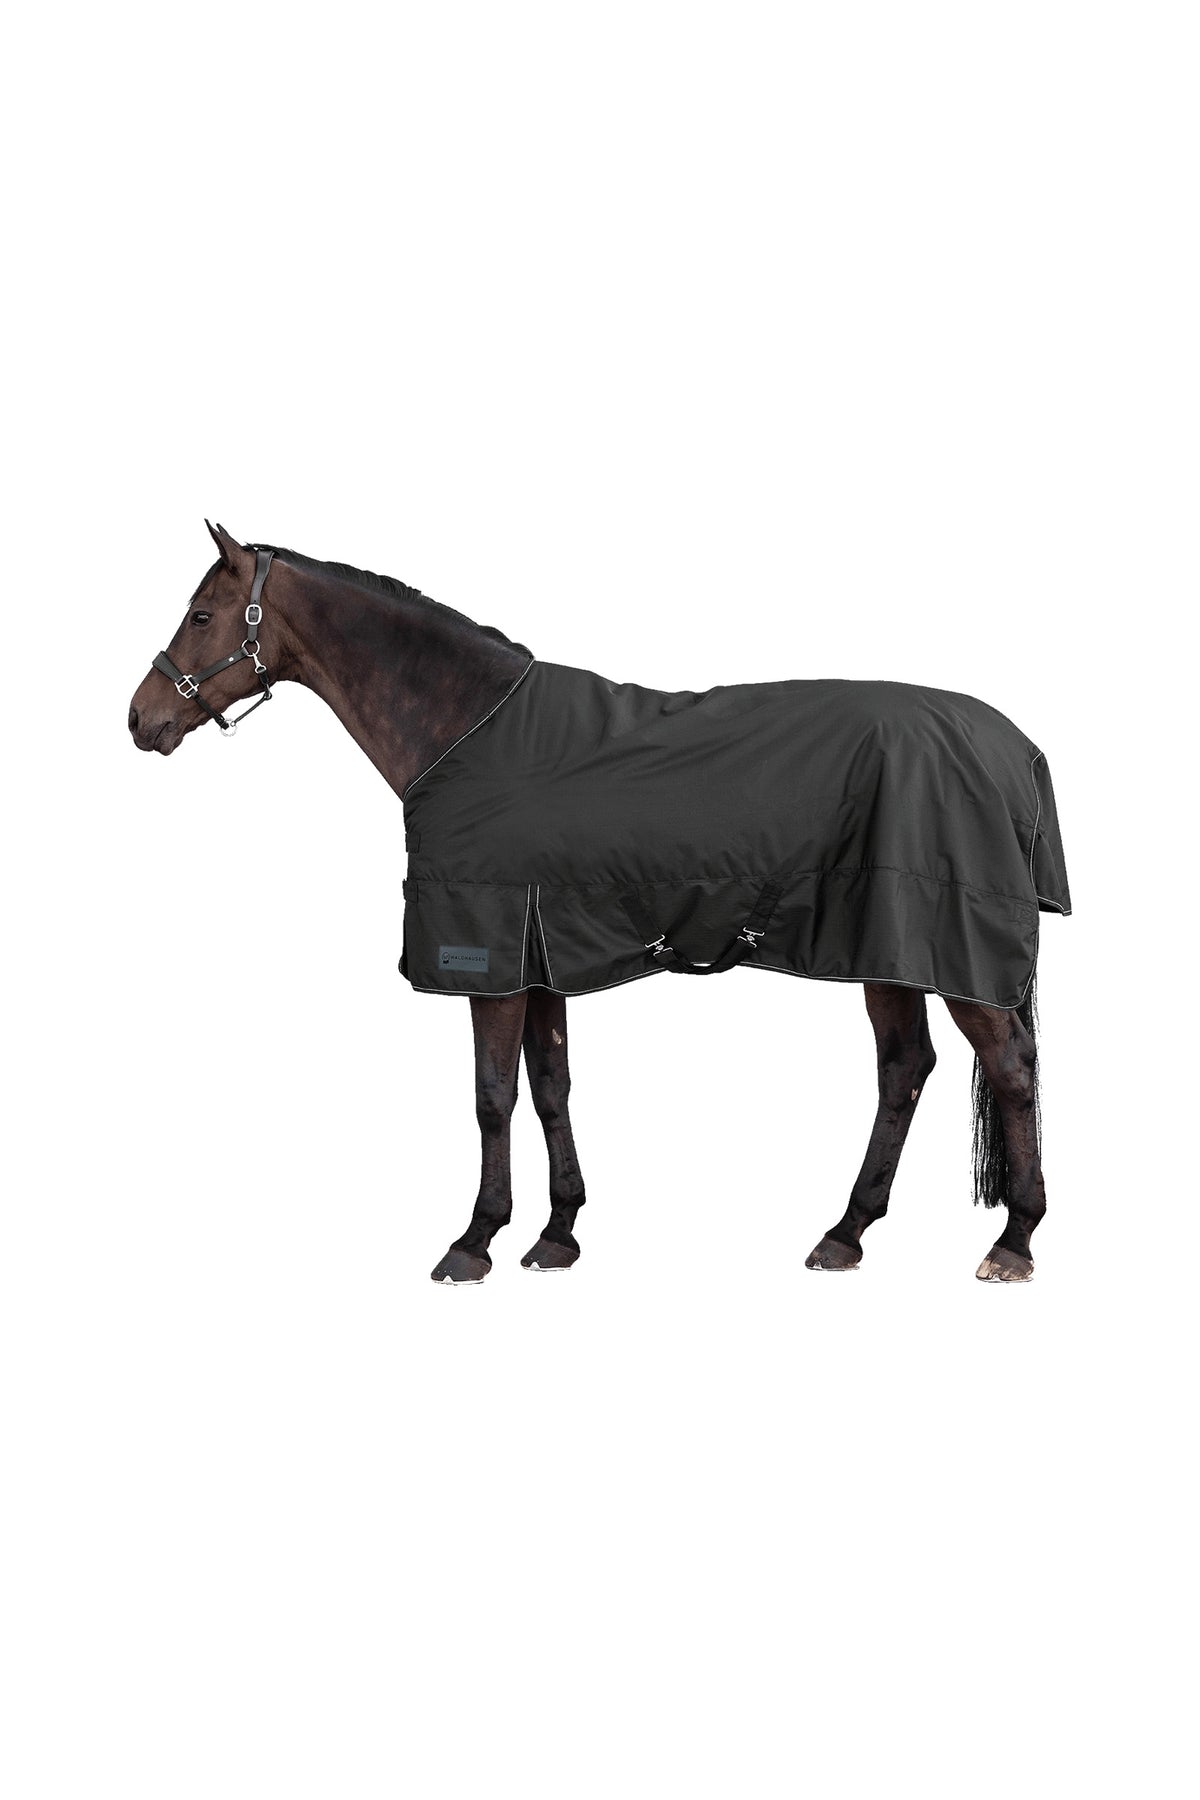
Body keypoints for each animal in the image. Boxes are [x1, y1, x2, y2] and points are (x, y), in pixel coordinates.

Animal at [129, 522, 1069, 1285]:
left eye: (202, 617)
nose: (141, 719)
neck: (466, 729)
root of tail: (1016, 748)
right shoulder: (541, 950)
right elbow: (551, 1087)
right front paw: (557, 1235)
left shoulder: (490, 953)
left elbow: (492, 1098)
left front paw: (474, 1241)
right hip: (889, 946)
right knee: (904, 1069)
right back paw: (845, 1233)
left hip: (948, 949)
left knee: (1010, 1069)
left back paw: (1013, 1242)